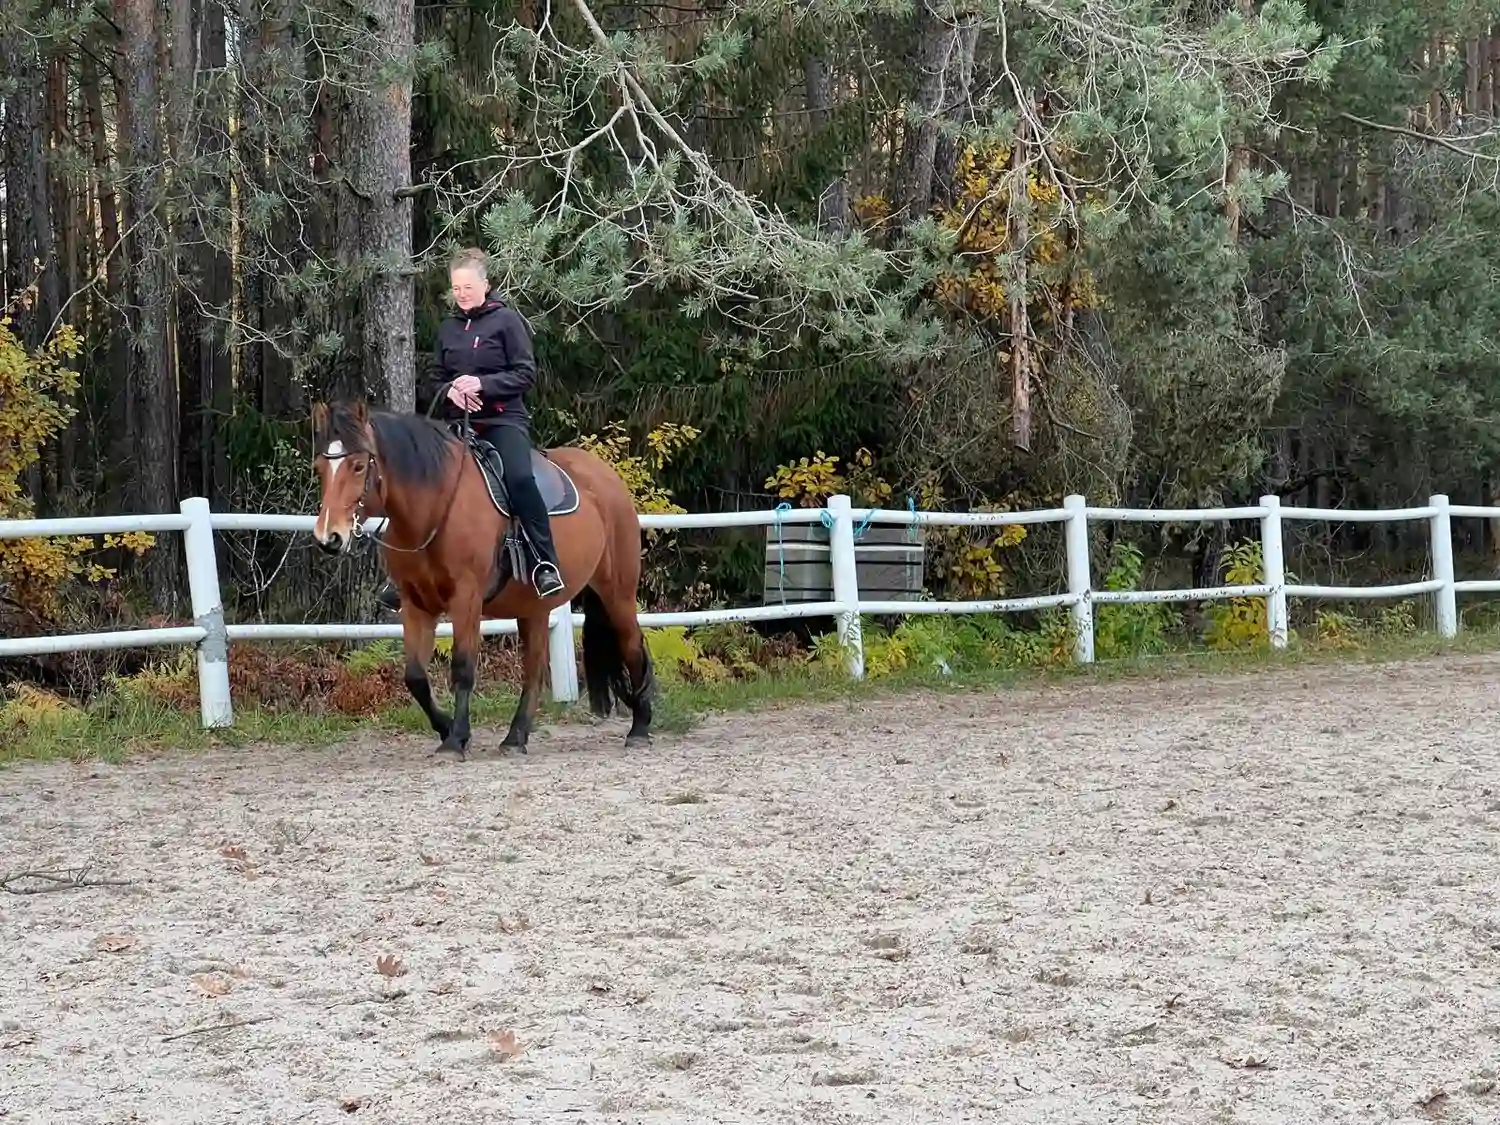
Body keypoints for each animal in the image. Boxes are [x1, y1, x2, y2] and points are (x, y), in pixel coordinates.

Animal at [308, 398, 655, 760]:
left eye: (359, 466)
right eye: (320, 467)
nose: (329, 537)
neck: (436, 507)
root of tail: (607, 478)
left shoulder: (466, 599)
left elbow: (462, 667)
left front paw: (455, 739)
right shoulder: (415, 603)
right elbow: (415, 677)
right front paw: (448, 728)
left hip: (618, 593)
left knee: (632, 645)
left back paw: (639, 728)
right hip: (535, 608)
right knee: (534, 669)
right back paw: (515, 737)